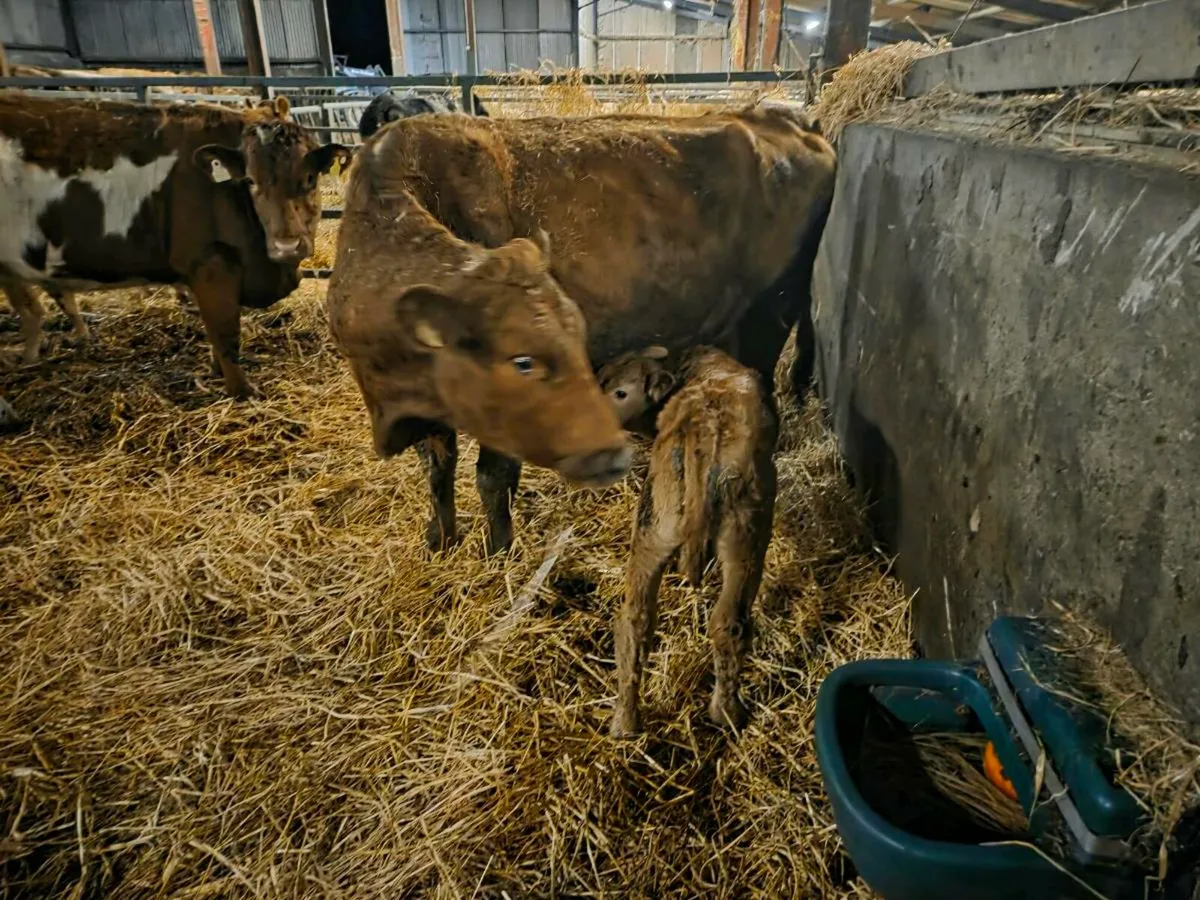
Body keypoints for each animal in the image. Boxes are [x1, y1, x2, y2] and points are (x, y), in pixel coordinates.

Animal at [0, 92, 349, 397]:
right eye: (250, 180)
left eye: (311, 178)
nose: (286, 246)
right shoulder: (208, 264)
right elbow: (225, 334)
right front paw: (243, 392)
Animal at [328, 103, 834, 553]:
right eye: (523, 360)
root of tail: (784, 119)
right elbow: (437, 471)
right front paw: (440, 540)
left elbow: (491, 476)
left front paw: (498, 551)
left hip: (771, 313)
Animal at [597, 345, 778, 735]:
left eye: (621, 392)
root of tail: (703, 435)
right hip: (745, 539)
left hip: (660, 531)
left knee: (647, 620)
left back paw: (629, 722)